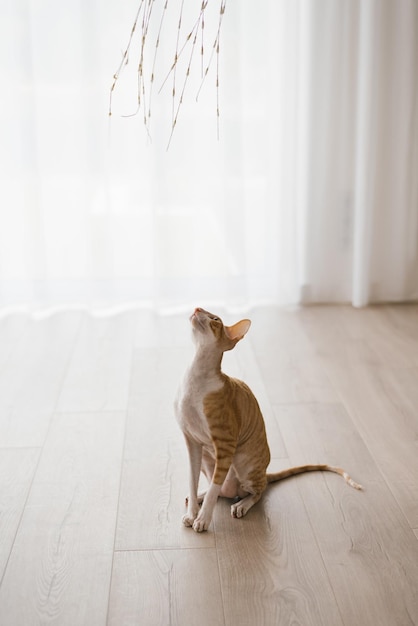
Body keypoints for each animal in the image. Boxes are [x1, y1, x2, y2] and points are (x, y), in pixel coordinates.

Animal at [174, 304, 362, 528]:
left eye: (215, 319)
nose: (197, 307)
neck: (196, 376)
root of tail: (264, 472)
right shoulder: (192, 441)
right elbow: (192, 480)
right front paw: (193, 512)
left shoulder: (226, 445)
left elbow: (215, 487)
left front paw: (202, 519)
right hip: (207, 459)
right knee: (221, 489)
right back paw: (202, 496)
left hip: (245, 465)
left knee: (255, 491)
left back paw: (242, 504)